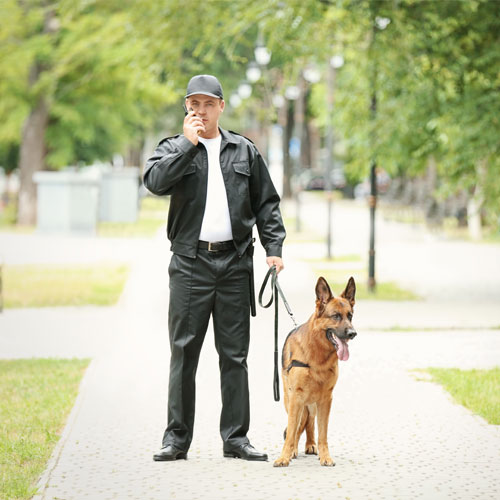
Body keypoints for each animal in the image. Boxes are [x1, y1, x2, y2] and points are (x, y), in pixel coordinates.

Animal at [274, 276, 356, 466]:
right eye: (336, 316)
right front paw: (284, 457)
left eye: (350, 316)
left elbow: (322, 433)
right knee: (297, 426)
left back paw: (310, 444)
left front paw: (325, 456)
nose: (352, 333)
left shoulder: (326, 398)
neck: (318, 354)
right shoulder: (296, 397)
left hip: (312, 402)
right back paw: (294, 450)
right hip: (291, 400)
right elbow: (291, 431)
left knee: (310, 422)